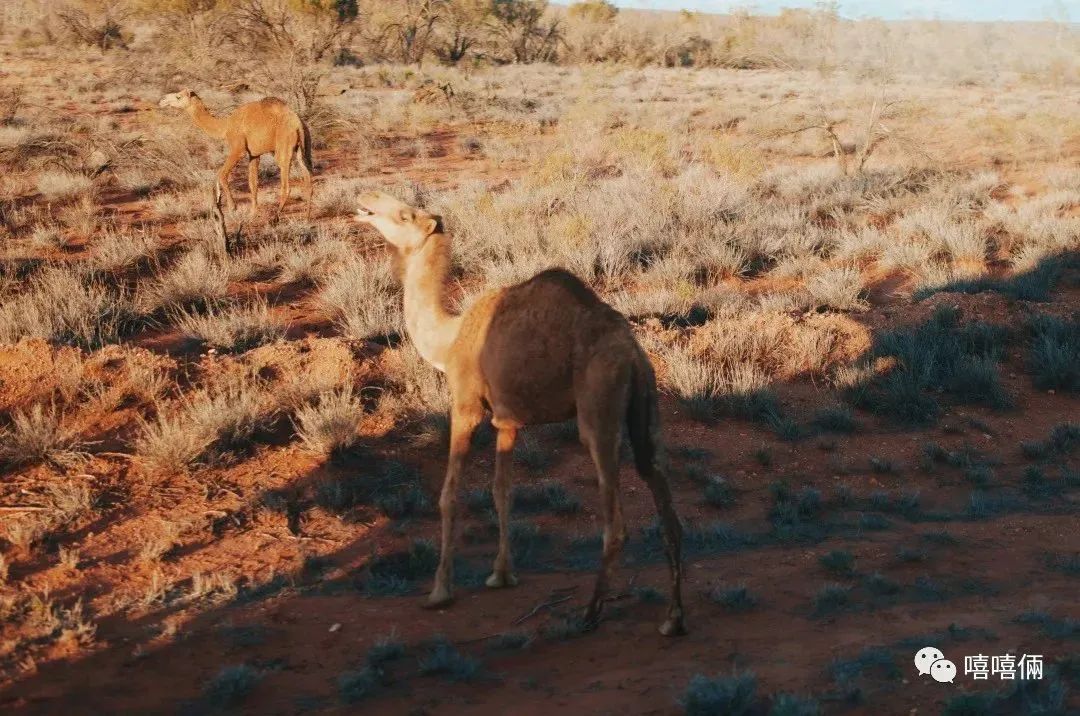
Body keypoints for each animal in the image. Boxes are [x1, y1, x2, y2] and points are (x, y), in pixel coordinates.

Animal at [157, 88, 315, 215]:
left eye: (178, 97)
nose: (162, 100)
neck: (225, 126)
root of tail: (298, 124)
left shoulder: (238, 147)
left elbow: (221, 174)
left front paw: (233, 207)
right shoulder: (254, 154)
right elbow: (253, 183)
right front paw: (252, 213)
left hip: (283, 145)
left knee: (286, 184)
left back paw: (276, 217)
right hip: (304, 147)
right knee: (308, 178)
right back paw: (307, 217)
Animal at [358, 190, 686, 639]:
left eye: (405, 214)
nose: (366, 199)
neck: (448, 338)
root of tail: (632, 352)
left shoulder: (465, 404)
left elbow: (450, 494)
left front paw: (440, 590)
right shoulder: (507, 420)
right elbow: (502, 491)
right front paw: (501, 574)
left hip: (597, 403)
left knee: (615, 518)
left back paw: (589, 613)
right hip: (645, 402)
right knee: (660, 487)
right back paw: (673, 617)